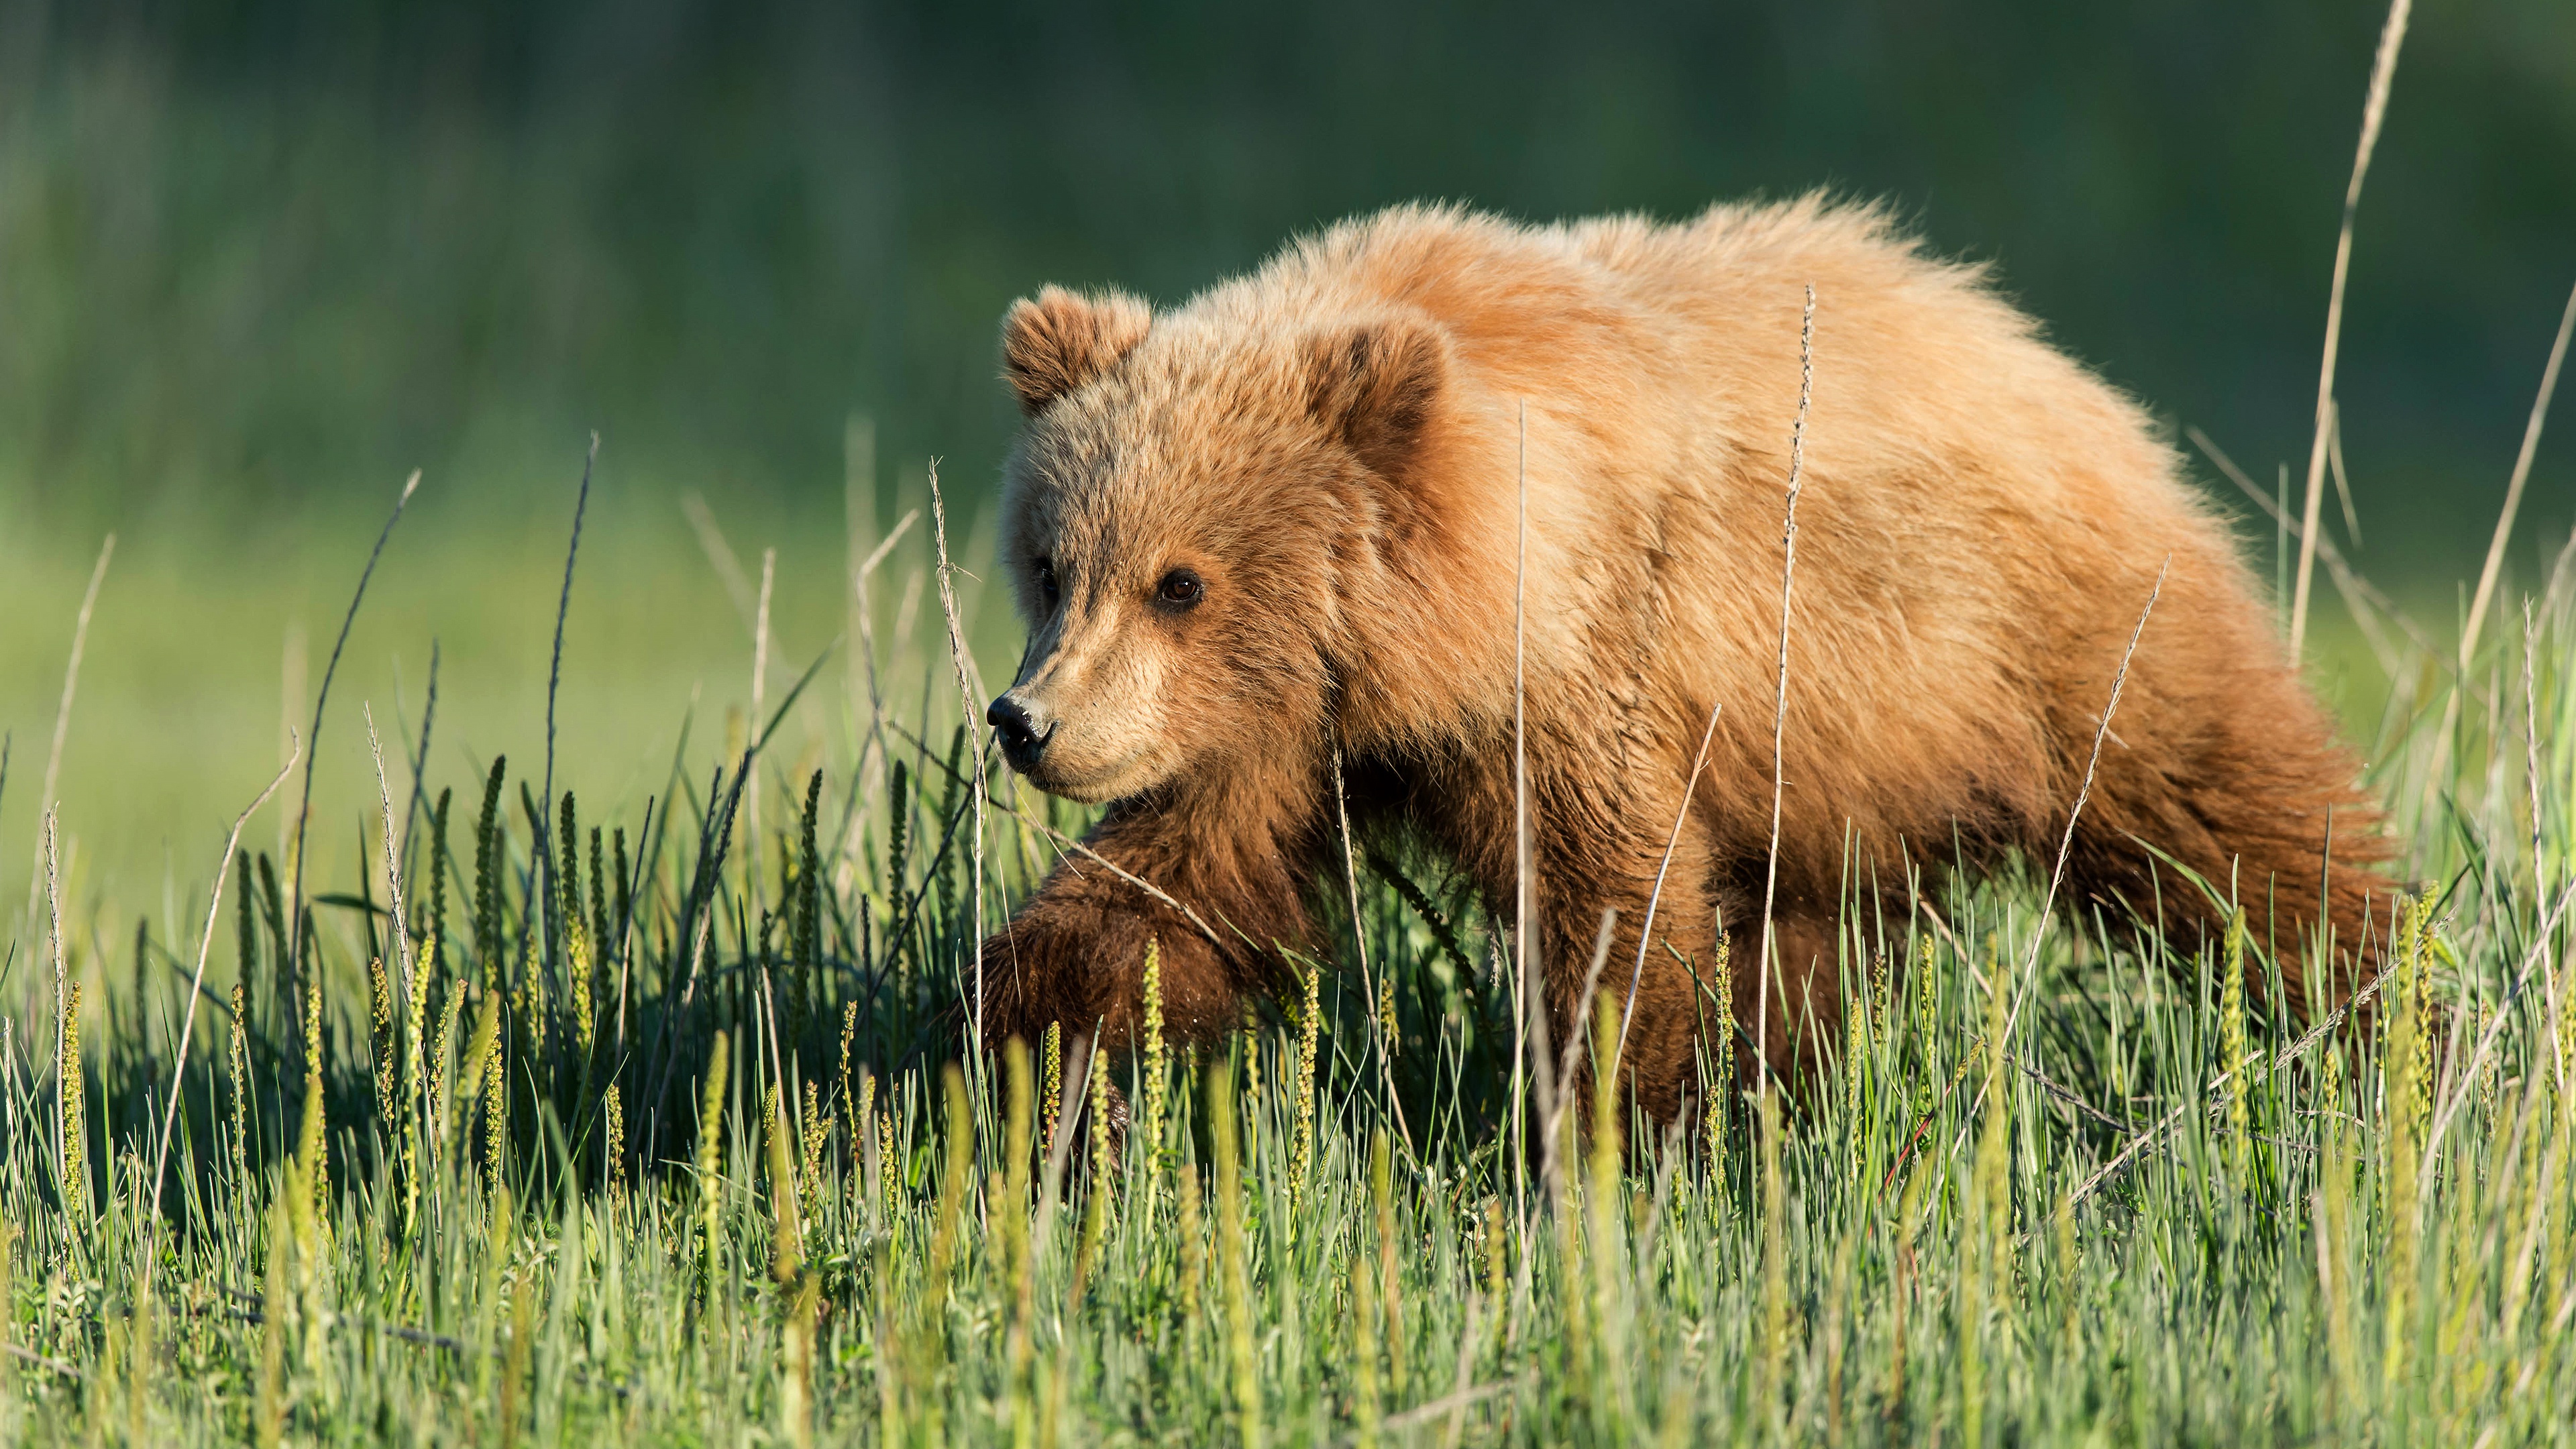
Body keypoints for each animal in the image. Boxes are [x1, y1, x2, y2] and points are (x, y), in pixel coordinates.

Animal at [974, 196, 2388, 1121]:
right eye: (1052, 563)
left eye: (1181, 582)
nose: (1027, 720)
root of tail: (2072, 373)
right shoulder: (1277, 730)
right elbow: (1162, 897)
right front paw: (1034, 1080)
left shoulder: (1589, 670)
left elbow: (1614, 911)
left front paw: (1613, 1126)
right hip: (1833, 774)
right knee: (1805, 943)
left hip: (2052, 647)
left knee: (2239, 830)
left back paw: (2379, 1006)